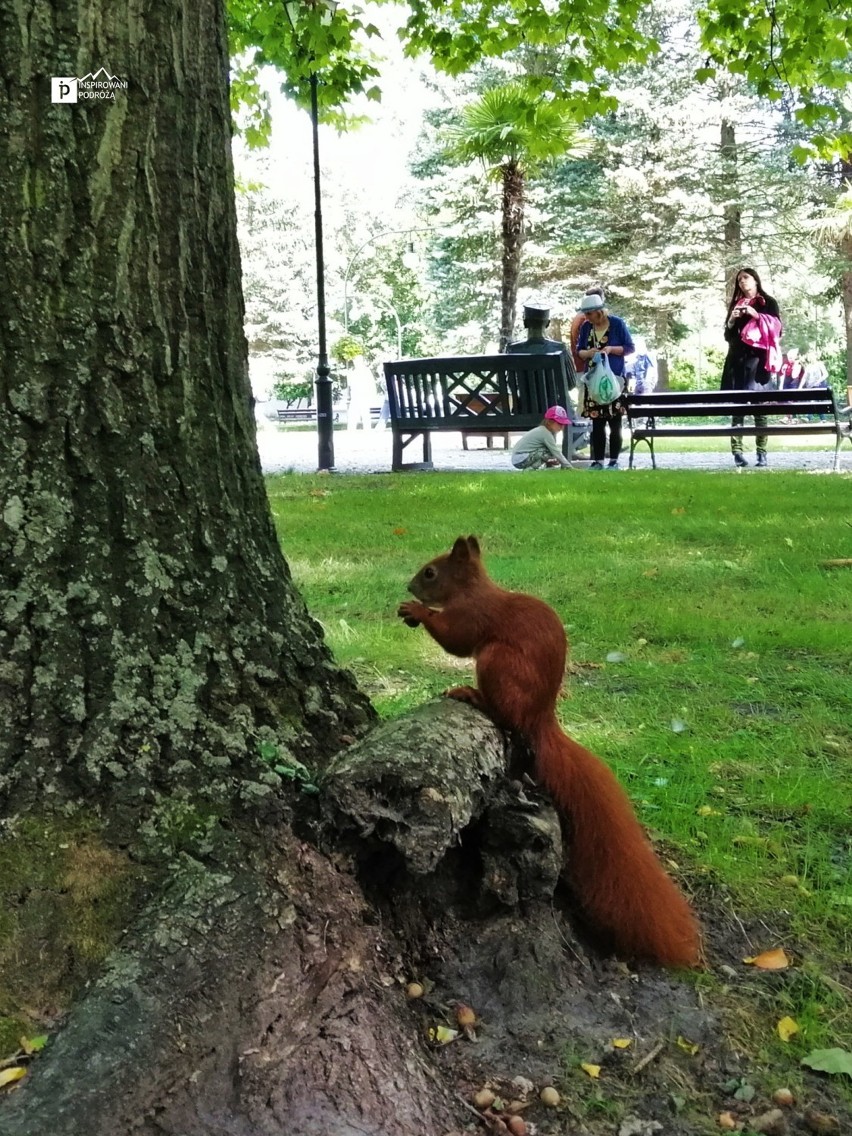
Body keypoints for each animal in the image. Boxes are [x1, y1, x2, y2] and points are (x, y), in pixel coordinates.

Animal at [399, 536, 699, 963]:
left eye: (430, 572)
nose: (409, 587)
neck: (473, 589)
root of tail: (539, 718)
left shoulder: (473, 615)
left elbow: (455, 639)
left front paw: (418, 611)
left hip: (498, 664)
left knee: (503, 714)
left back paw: (471, 694)